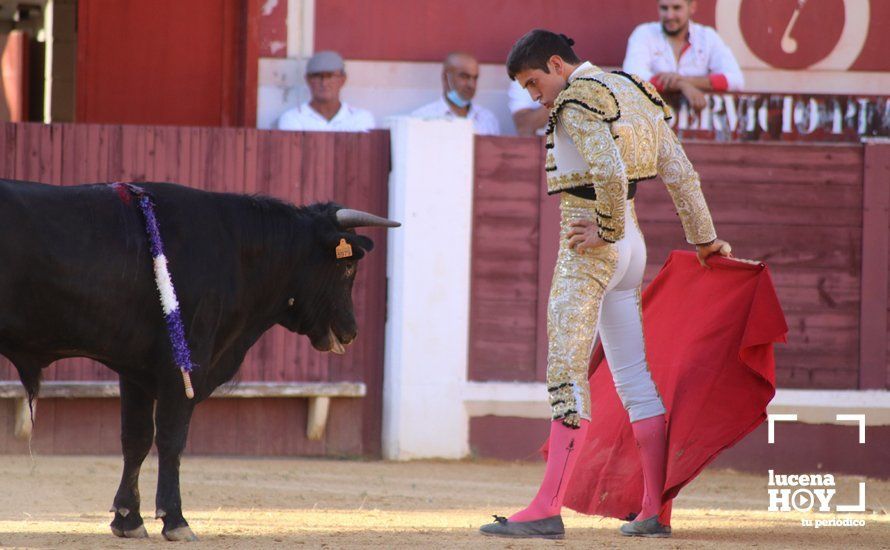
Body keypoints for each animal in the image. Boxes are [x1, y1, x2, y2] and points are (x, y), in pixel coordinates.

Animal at [0, 179, 398, 540]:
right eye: (348, 269)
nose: (350, 331)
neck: (237, 250)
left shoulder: (135, 371)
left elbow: (136, 438)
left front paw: (128, 520)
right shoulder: (182, 368)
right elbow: (172, 439)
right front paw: (175, 520)